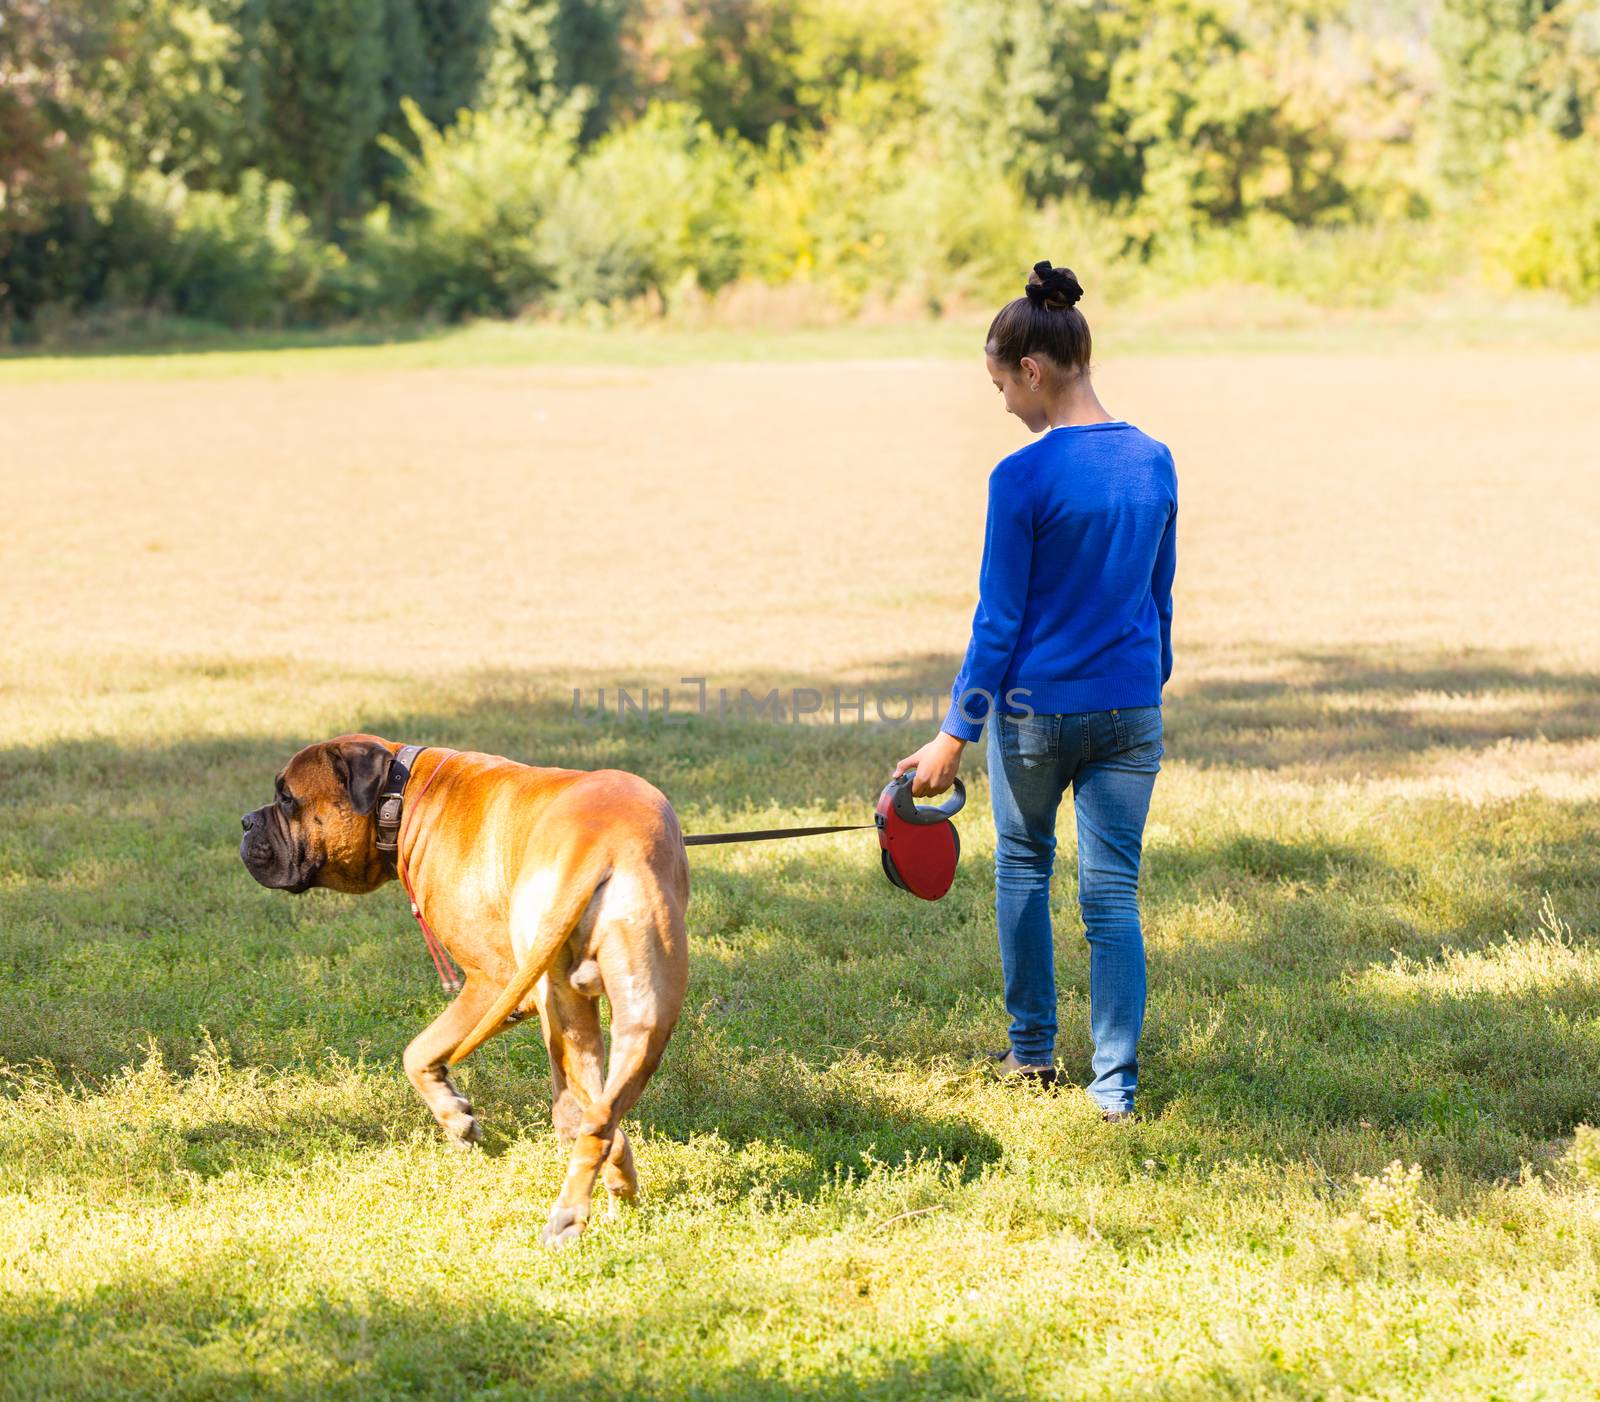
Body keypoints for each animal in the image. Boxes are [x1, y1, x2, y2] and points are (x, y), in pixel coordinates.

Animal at [238, 739, 688, 1241]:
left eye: (287, 799)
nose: (246, 821)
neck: (400, 794)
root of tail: (597, 844)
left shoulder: (490, 983)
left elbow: (416, 1052)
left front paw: (455, 1117)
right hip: (634, 1017)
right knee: (599, 1114)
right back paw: (598, 1196)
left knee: (589, 1109)